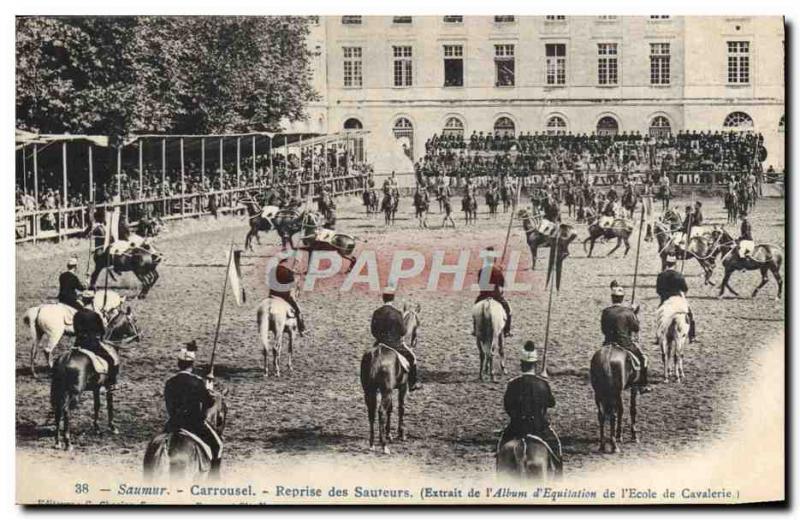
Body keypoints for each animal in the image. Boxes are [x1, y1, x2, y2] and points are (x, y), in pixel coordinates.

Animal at [49, 308, 141, 450]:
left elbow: (96, 405)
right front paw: (112, 427)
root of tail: (66, 359)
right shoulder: (109, 386)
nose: (138, 337)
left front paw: (97, 428)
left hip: (61, 390)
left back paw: (57, 441)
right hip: (74, 393)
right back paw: (68, 442)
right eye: (134, 320)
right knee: (66, 410)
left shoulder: (96, 387)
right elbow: (109, 405)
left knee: (58, 409)